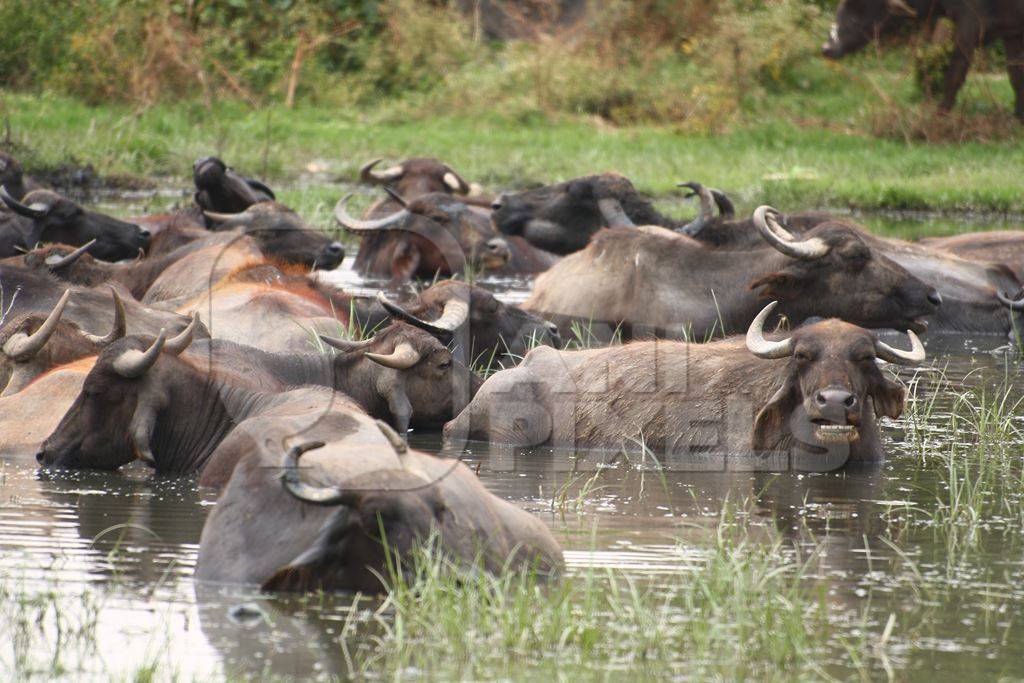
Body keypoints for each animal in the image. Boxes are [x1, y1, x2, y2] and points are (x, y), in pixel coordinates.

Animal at [819, 0, 1024, 119]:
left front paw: (940, 115)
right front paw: (1017, 116)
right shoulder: (1012, 33)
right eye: (839, 11)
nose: (827, 48)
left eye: (854, 18)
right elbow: (1016, 76)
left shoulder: (970, 25)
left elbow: (954, 75)